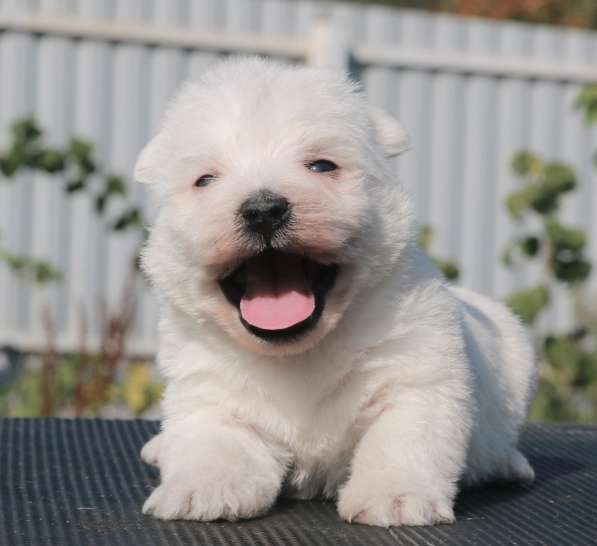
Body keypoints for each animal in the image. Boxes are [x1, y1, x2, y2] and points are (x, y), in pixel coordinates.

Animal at [135, 57, 536, 524]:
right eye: (205, 180)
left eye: (322, 166)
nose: (263, 210)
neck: (297, 354)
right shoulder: (209, 392)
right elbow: (213, 442)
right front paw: (200, 488)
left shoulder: (418, 378)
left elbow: (400, 440)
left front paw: (394, 496)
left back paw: (508, 462)